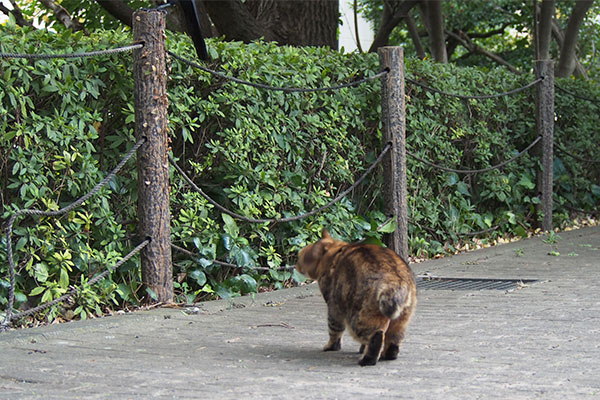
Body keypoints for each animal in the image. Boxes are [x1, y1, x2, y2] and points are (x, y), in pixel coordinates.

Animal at [296, 228, 418, 366]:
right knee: (393, 341)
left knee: (376, 336)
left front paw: (331, 346)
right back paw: (386, 355)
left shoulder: (334, 308)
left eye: (300, 257)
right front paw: (361, 349)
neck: (336, 253)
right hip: (400, 321)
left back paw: (367, 360)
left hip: (358, 317)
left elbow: (334, 330)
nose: (296, 265)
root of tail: (395, 278)